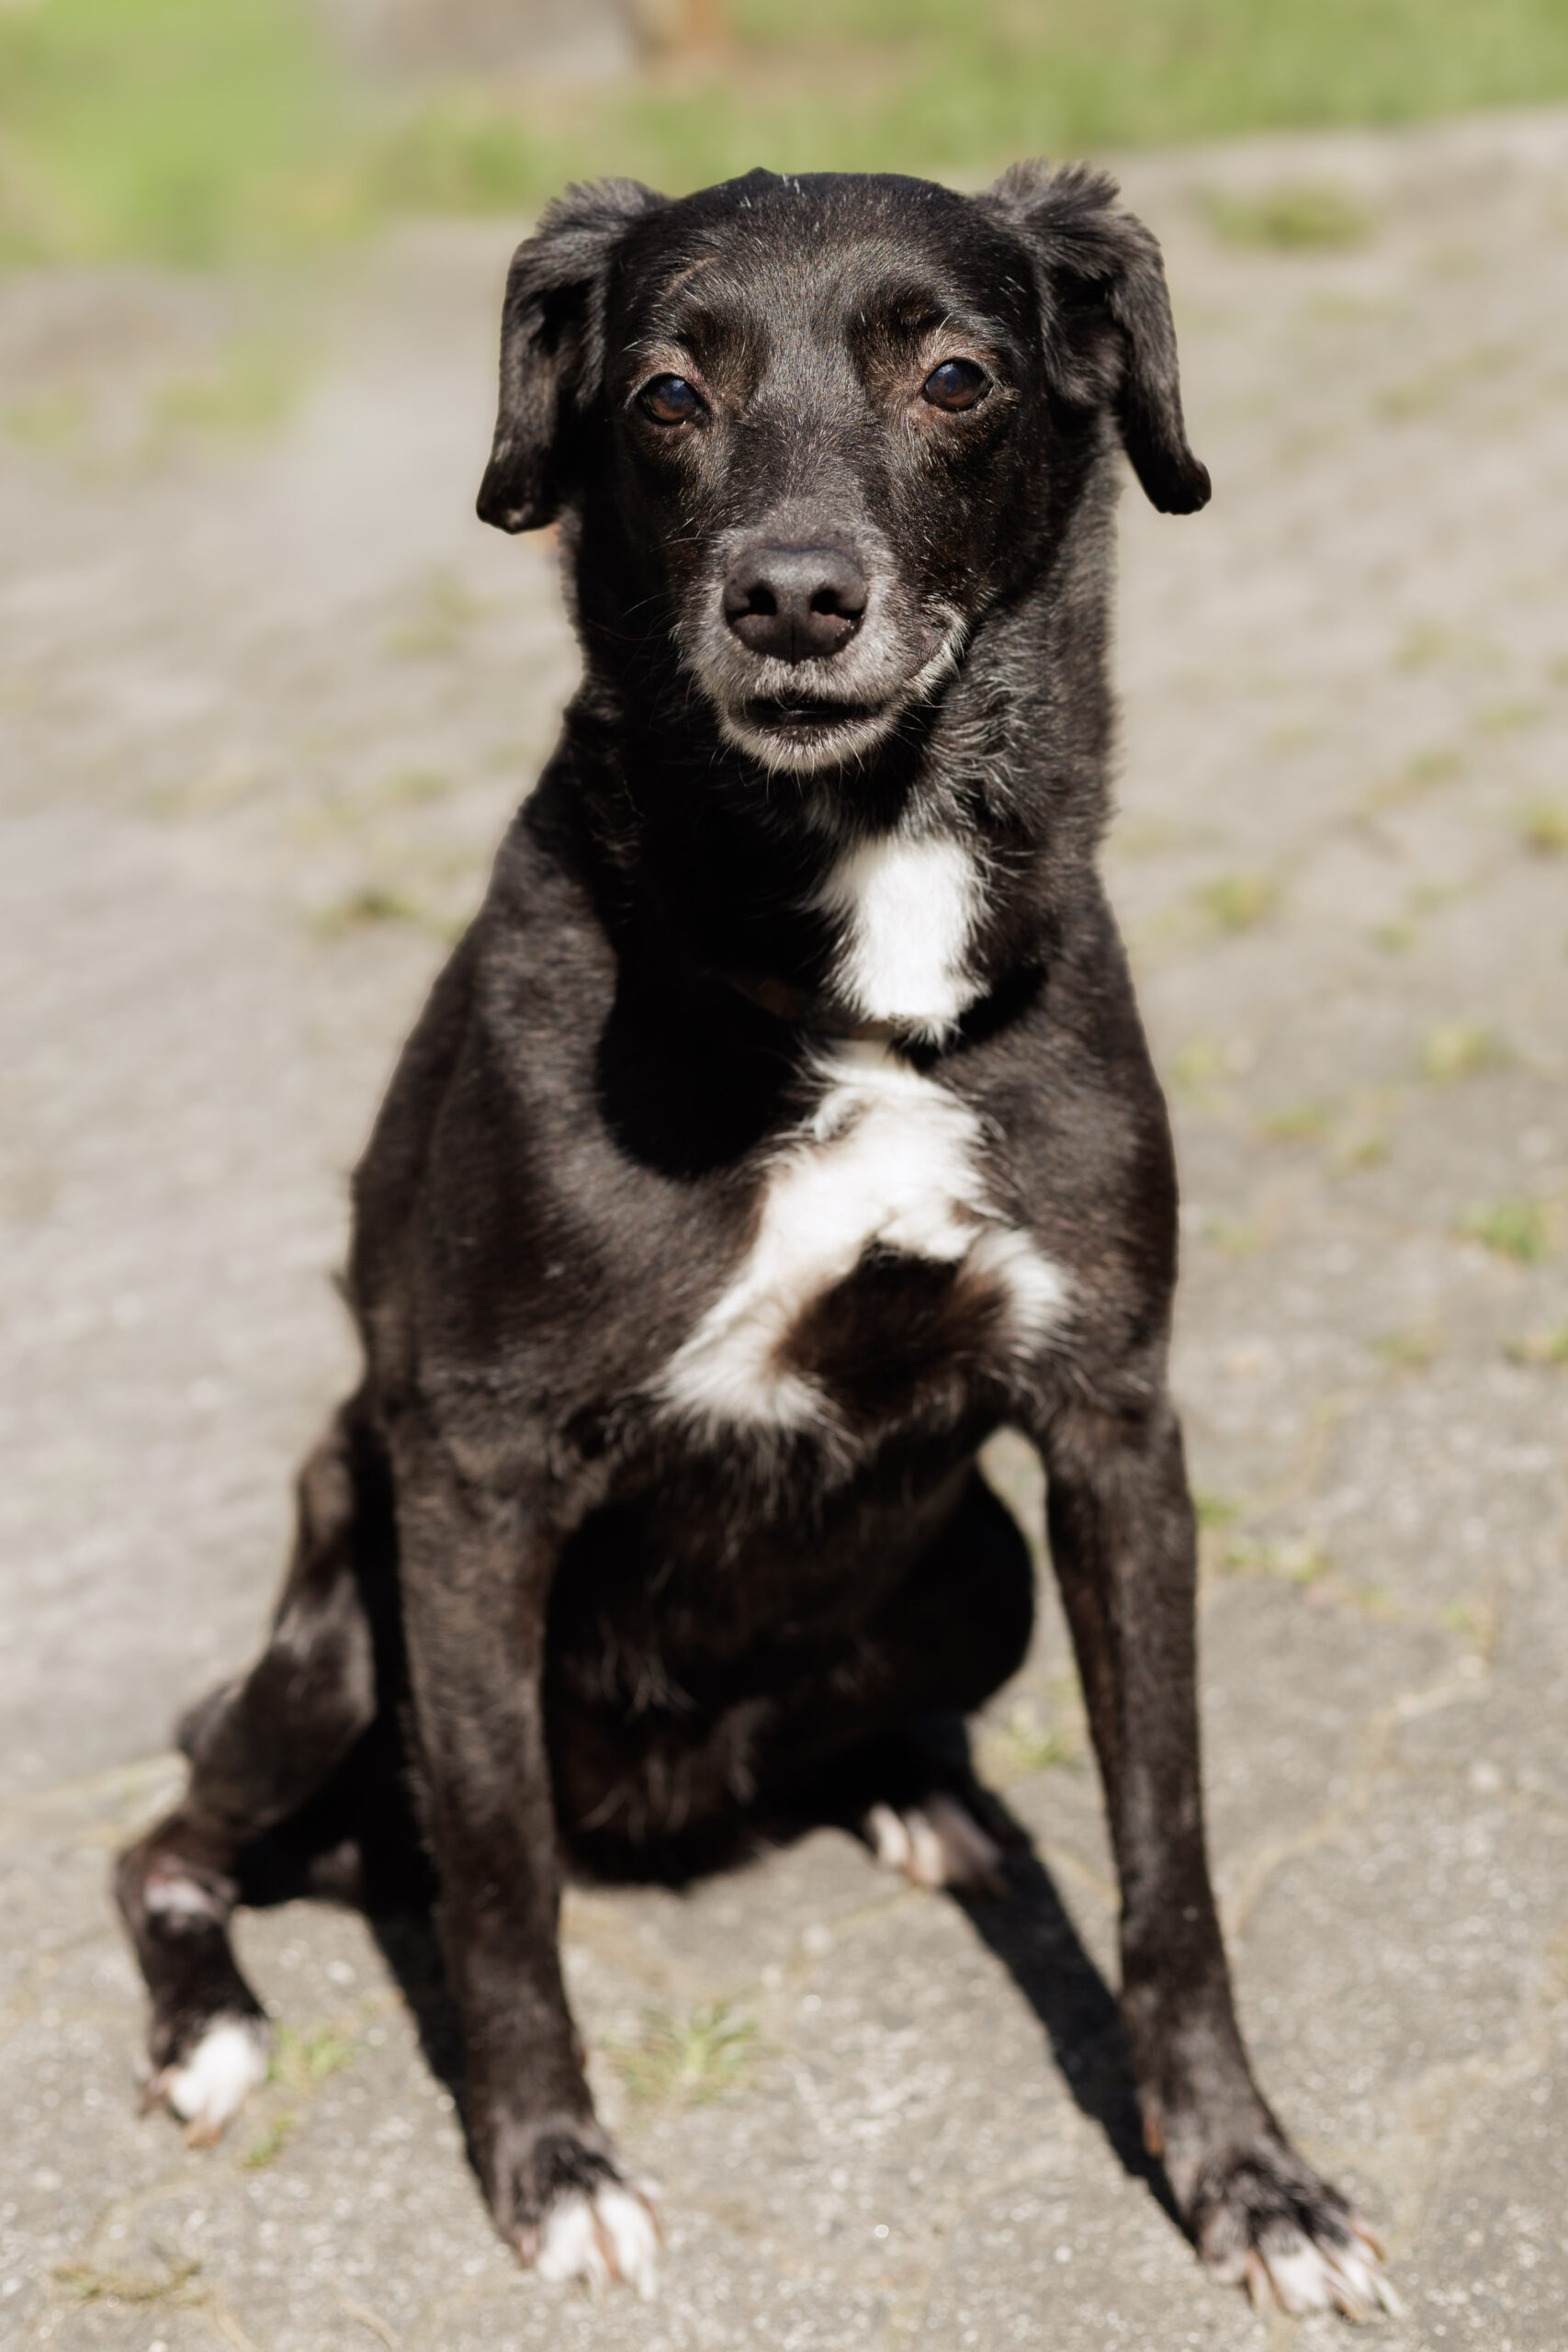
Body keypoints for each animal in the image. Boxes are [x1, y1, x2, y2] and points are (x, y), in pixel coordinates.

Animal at [115, 162, 1393, 2320]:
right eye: (663, 394)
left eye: (954, 376)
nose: (793, 597)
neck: (851, 963)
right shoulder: (473, 1479)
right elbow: (499, 1874)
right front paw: (551, 2164)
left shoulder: (1115, 1435)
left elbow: (1171, 1855)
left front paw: (1247, 2177)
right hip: (343, 1627)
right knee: (183, 1843)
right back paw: (212, 2025)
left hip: (980, 1571)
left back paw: (908, 1791)